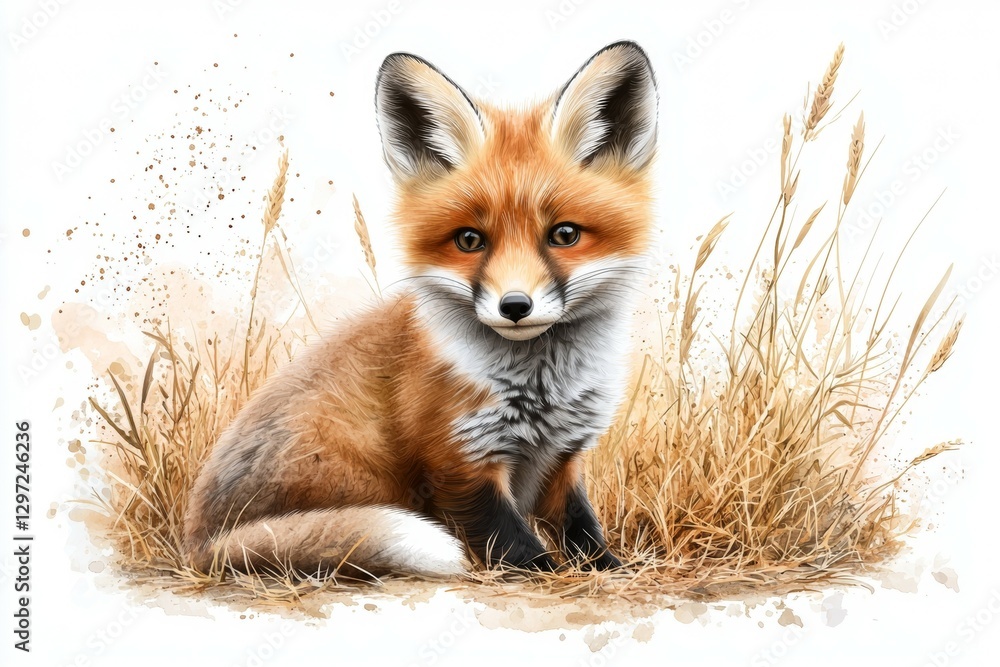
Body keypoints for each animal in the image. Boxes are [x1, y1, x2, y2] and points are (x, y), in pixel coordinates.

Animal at [182, 40, 659, 578]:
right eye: (469, 240)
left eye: (564, 234)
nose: (515, 305)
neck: (541, 386)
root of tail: (198, 542)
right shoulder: (457, 459)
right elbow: (512, 543)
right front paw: (547, 573)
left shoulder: (562, 456)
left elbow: (581, 529)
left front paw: (610, 569)